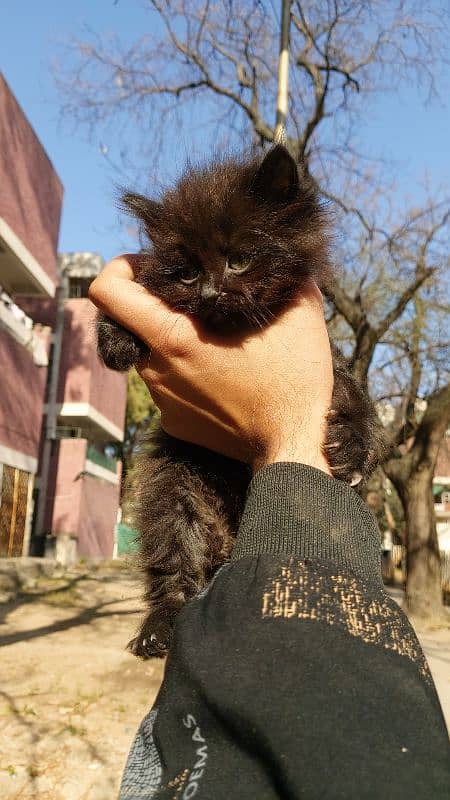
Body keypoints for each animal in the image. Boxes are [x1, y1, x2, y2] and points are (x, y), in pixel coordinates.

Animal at [96, 147, 384, 660]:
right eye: (187, 271)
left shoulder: (325, 353)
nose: (212, 291)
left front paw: (355, 443)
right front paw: (114, 335)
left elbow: (350, 385)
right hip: (172, 492)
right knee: (175, 566)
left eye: (240, 259)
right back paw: (159, 628)